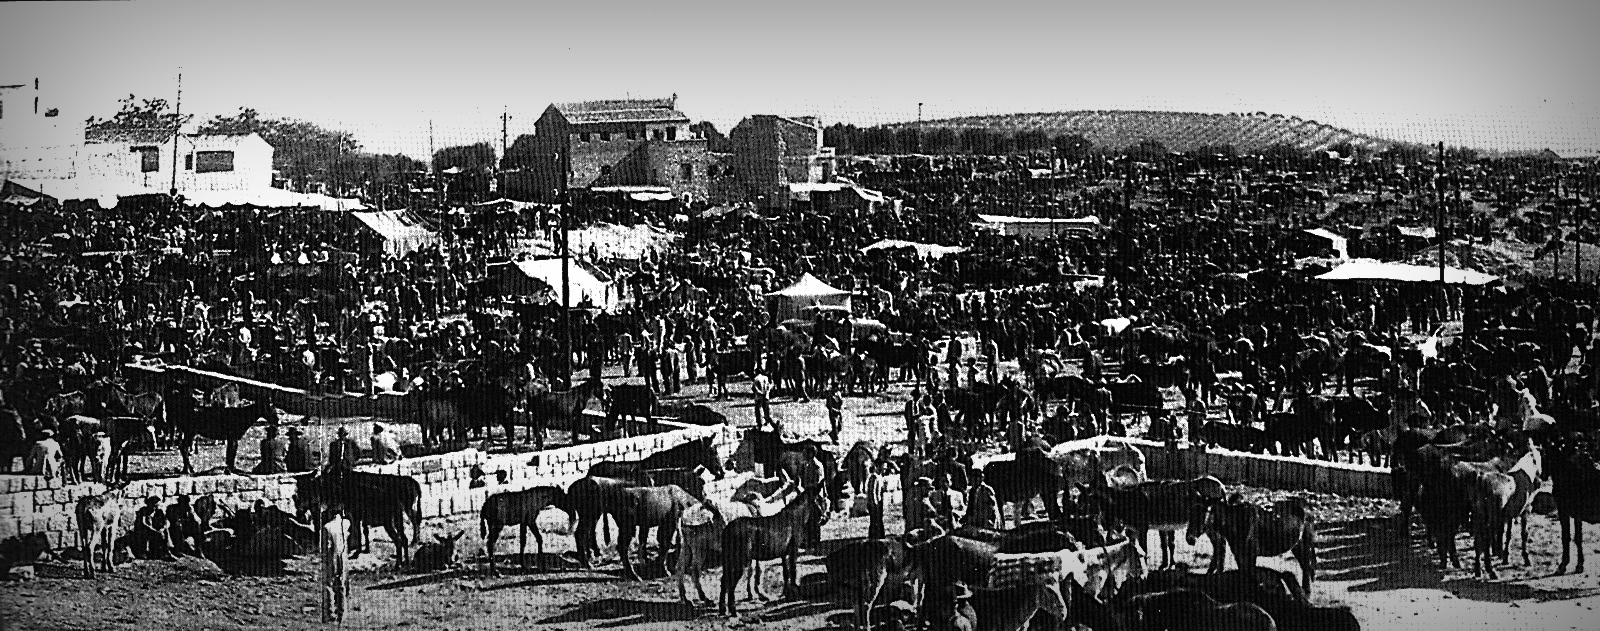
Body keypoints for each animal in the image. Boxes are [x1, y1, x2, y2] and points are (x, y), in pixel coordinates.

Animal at [720, 483, 832, 614]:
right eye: (823, 499)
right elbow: (792, 571)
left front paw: (787, 594)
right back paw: (733, 611)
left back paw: (723, 609)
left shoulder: (784, 554)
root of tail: (727, 529)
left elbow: (786, 573)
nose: (826, 517)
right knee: (731, 584)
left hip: (730, 561)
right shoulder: (793, 550)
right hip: (739, 561)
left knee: (724, 581)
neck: (795, 517)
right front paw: (794, 594)